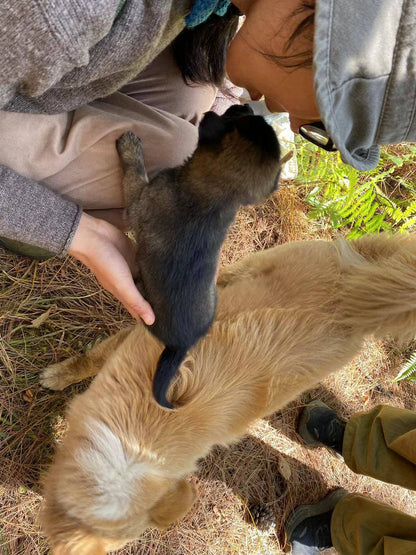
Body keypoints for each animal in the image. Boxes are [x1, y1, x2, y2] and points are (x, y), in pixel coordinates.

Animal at [117, 105, 282, 408]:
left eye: (236, 116)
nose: (245, 104)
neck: (215, 197)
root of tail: (181, 346)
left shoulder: (138, 201)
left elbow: (134, 173)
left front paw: (131, 149)